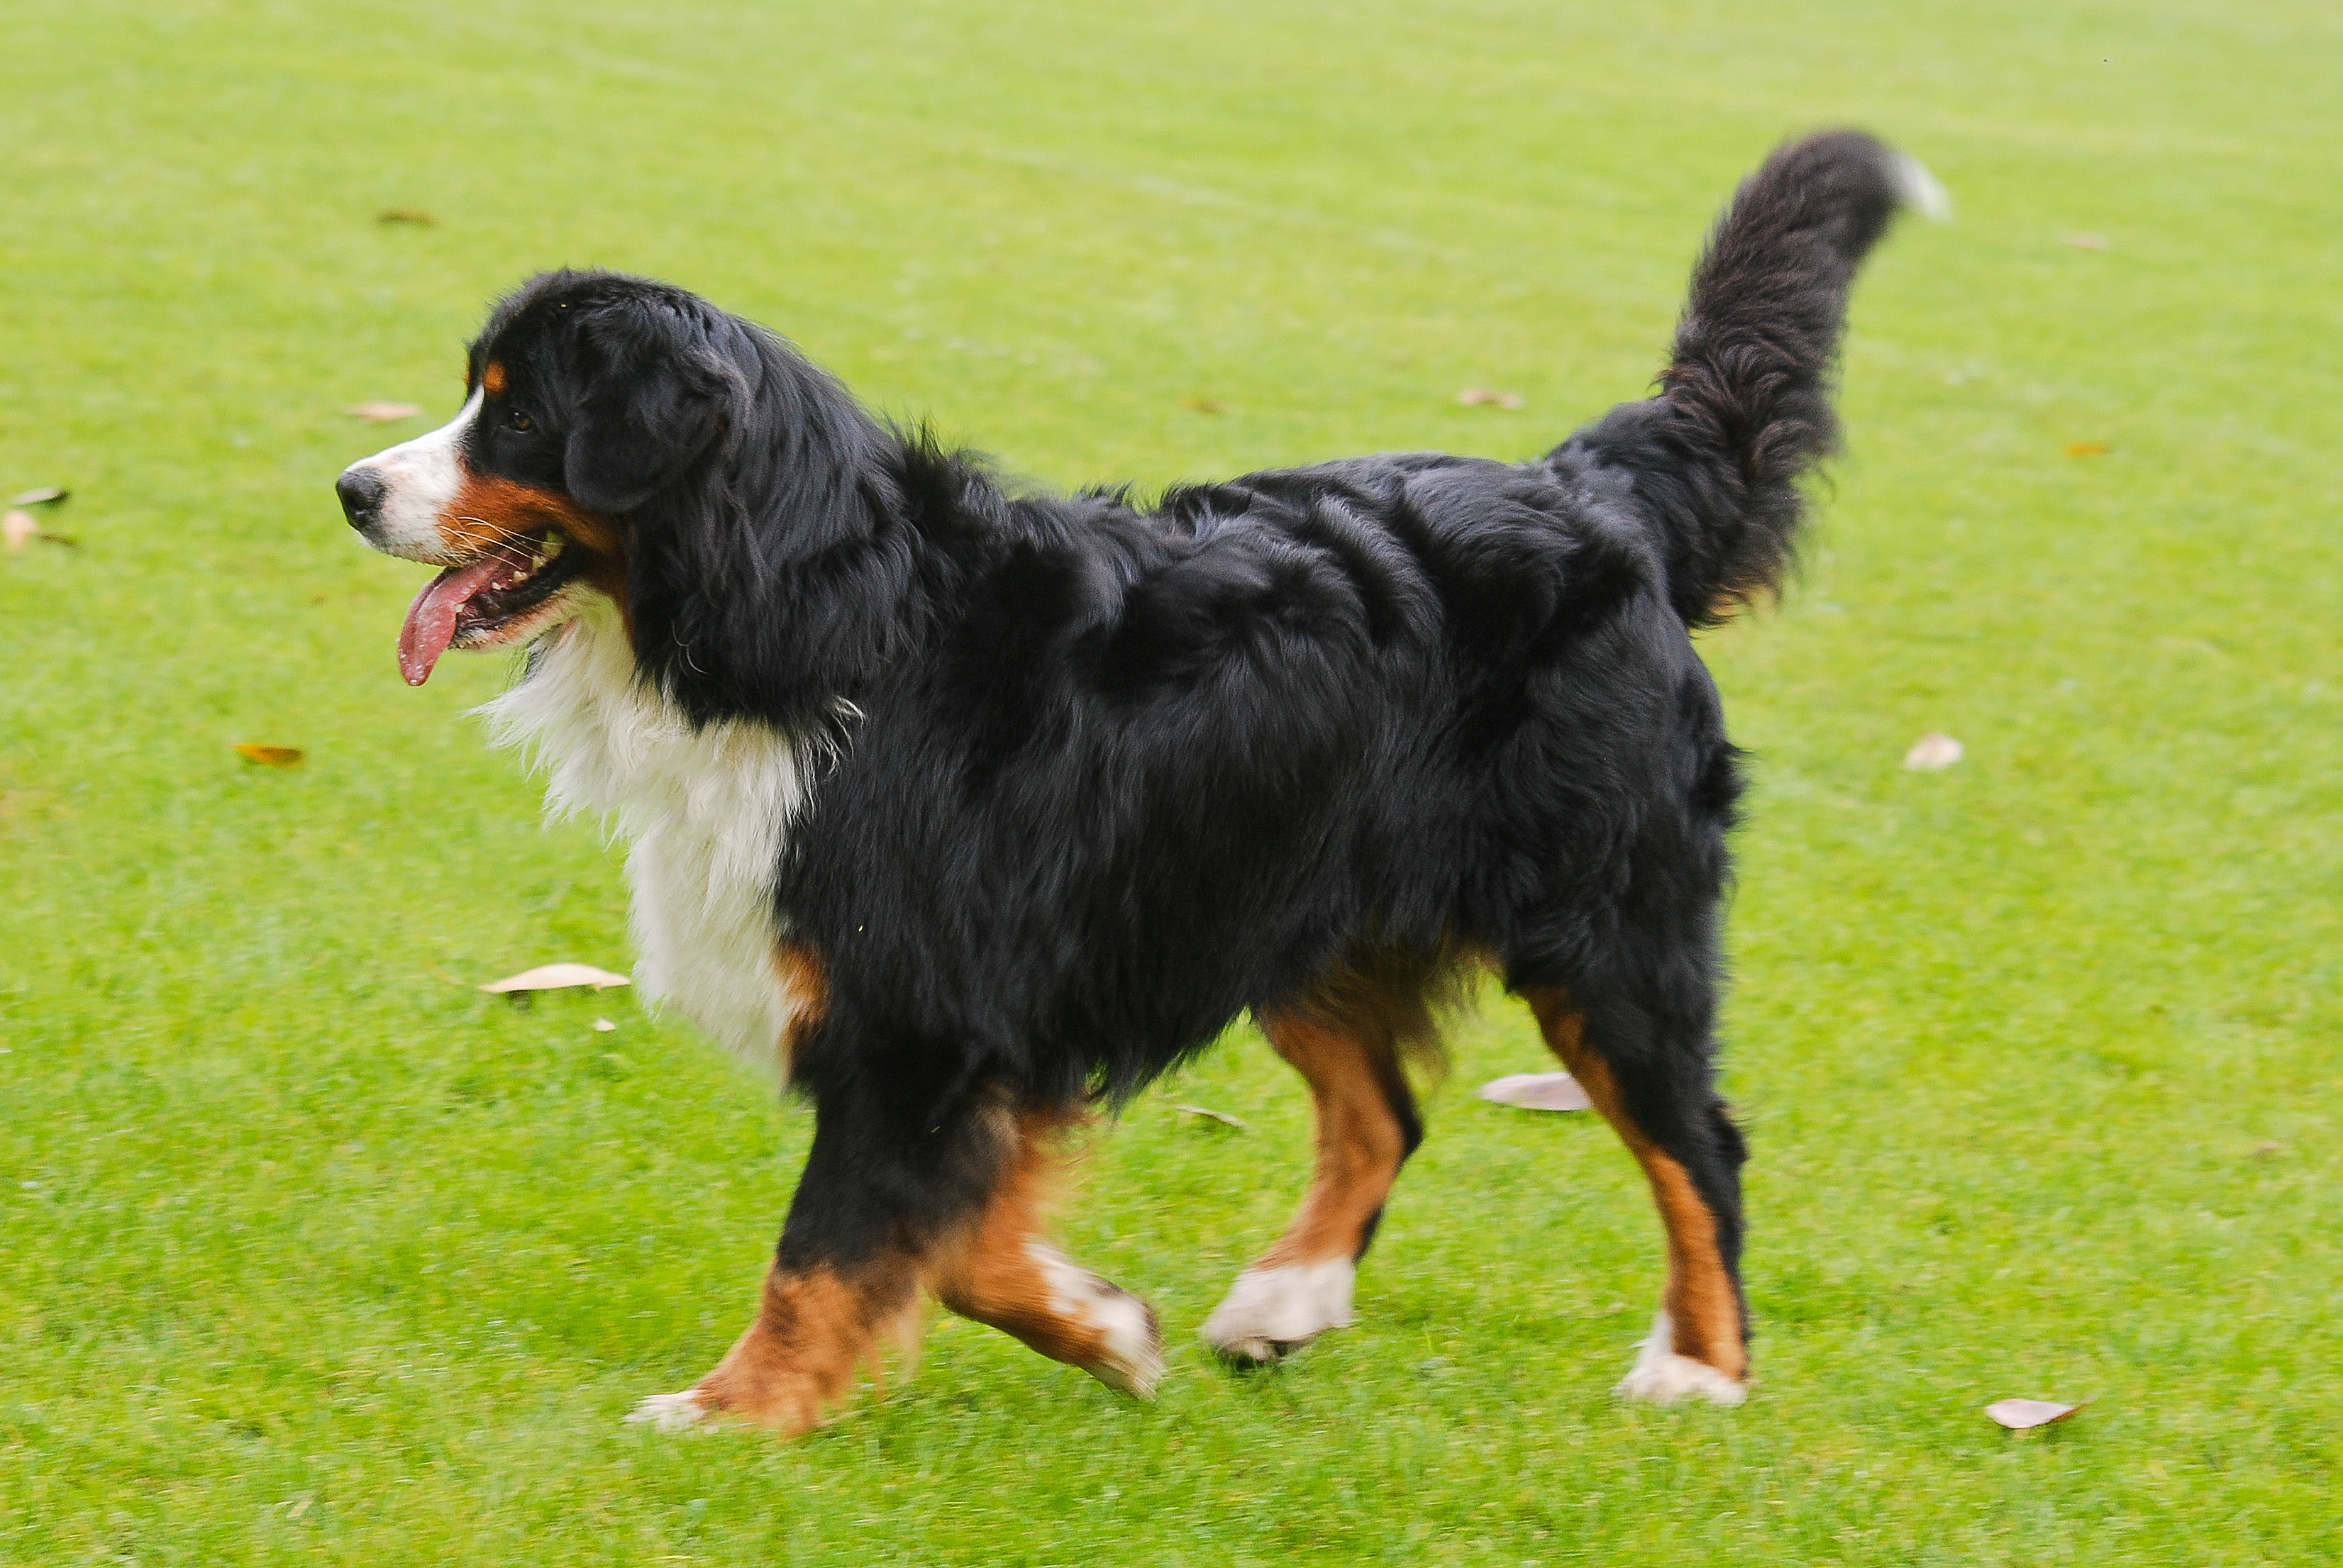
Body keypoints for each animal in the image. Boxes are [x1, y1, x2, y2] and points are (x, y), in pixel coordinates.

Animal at [330, 135, 1939, 1434]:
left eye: (516, 417)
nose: (351, 488)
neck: (805, 620)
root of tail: (1588, 488)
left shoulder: (915, 1014)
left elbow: (831, 1245)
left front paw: (736, 1408)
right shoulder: (980, 1016)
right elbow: (959, 1242)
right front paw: (1105, 1327)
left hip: (1597, 922)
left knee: (1694, 1141)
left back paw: (1699, 1367)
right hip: (1280, 890)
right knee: (1381, 1113)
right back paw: (1283, 1300)